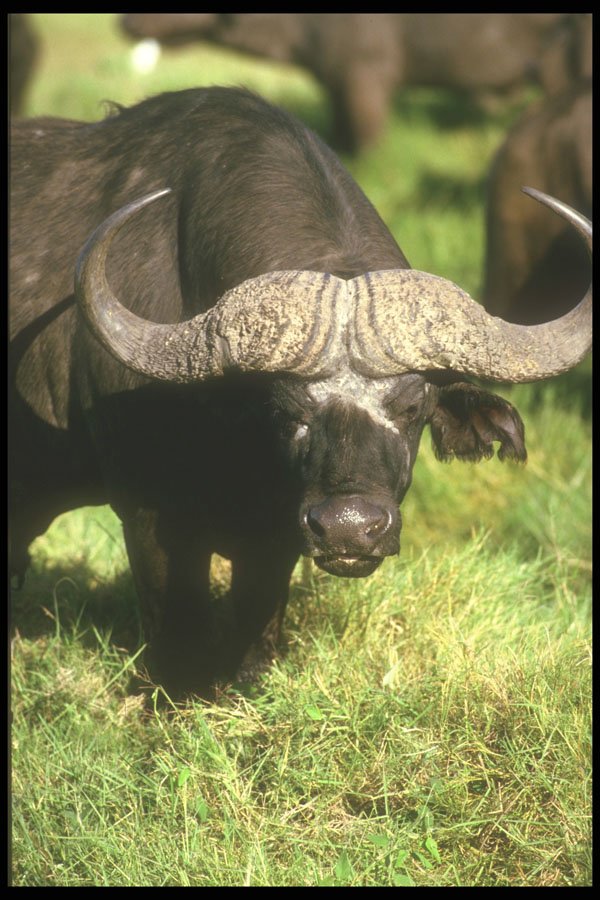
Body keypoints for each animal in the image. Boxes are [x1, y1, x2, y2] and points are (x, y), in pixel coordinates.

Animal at [9, 87, 592, 697]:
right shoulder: (149, 519)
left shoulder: (277, 539)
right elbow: (180, 650)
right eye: (286, 408)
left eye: (414, 406)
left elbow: (254, 638)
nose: (349, 529)